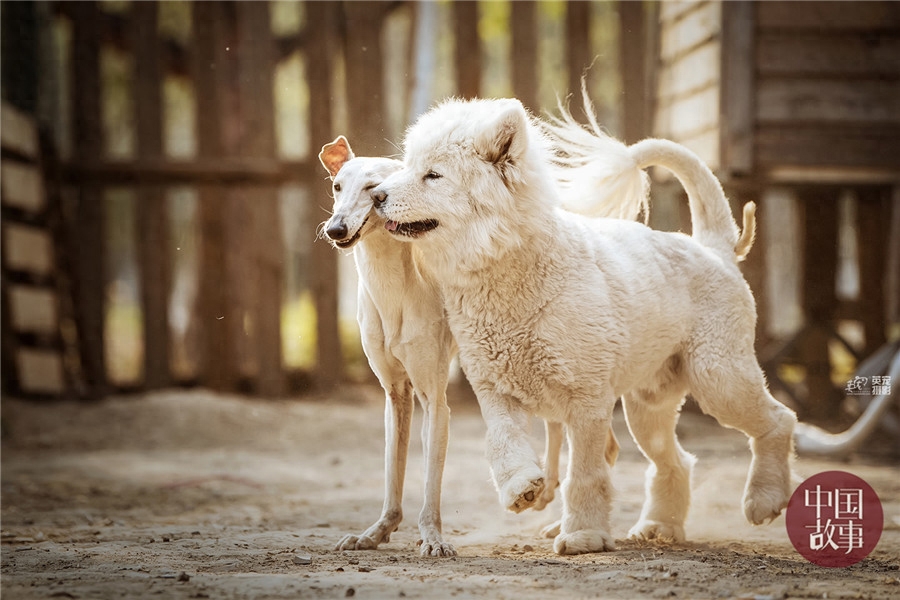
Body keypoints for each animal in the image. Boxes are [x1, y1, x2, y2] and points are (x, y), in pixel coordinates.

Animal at [370, 97, 796, 552]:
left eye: (433, 175)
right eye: (407, 166)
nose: (377, 195)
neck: (510, 268)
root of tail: (713, 248)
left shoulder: (587, 400)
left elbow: (585, 474)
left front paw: (583, 535)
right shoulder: (495, 389)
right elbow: (501, 442)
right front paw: (521, 487)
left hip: (718, 376)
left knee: (778, 420)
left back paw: (764, 499)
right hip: (647, 406)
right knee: (676, 461)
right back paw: (659, 527)